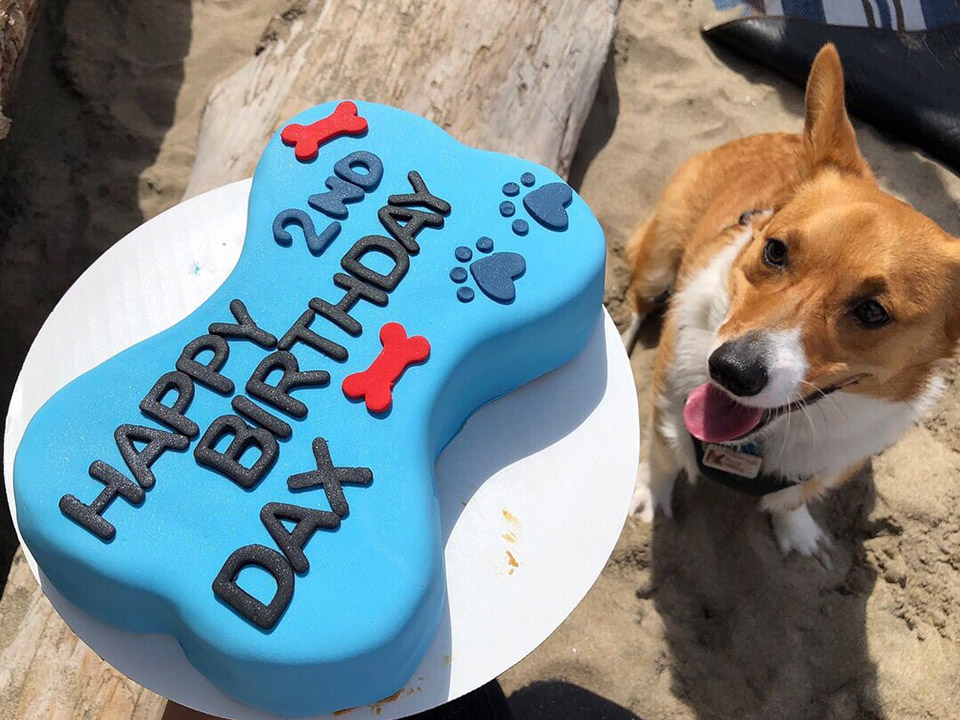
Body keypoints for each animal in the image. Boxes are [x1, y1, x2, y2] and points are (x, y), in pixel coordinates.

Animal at [620, 45, 956, 560]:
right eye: (775, 250)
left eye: (873, 311)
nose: (729, 371)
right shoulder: (666, 406)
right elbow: (661, 459)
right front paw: (646, 499)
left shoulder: (835, 462)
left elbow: (793, 501)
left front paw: (798, 535)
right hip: (659, 260)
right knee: (638, 303)